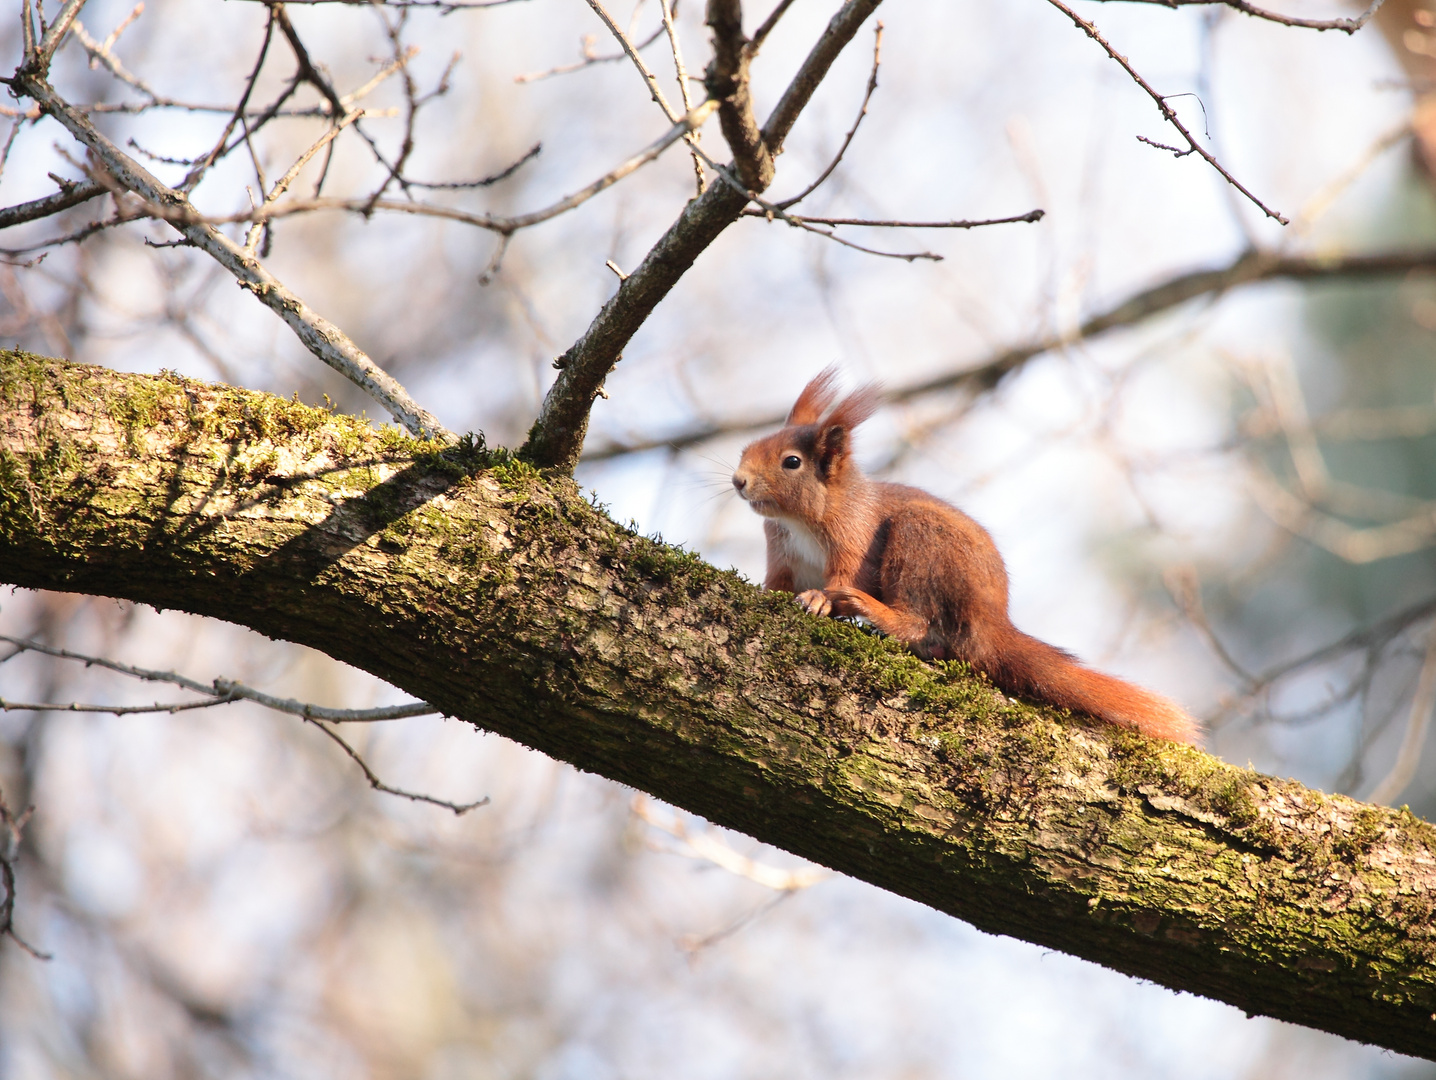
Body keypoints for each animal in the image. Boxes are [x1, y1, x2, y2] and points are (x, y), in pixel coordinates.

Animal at [729, 370, 1200, 741]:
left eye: (792, 462)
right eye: (747, 448)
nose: (738, 480)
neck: (798, 521)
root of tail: (990, 620)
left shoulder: (856, 538)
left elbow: (845, 577)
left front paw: (823, 599)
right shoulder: (782, 553)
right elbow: (777, 584)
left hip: (923, 542)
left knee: (919, 623)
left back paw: (876, 612)